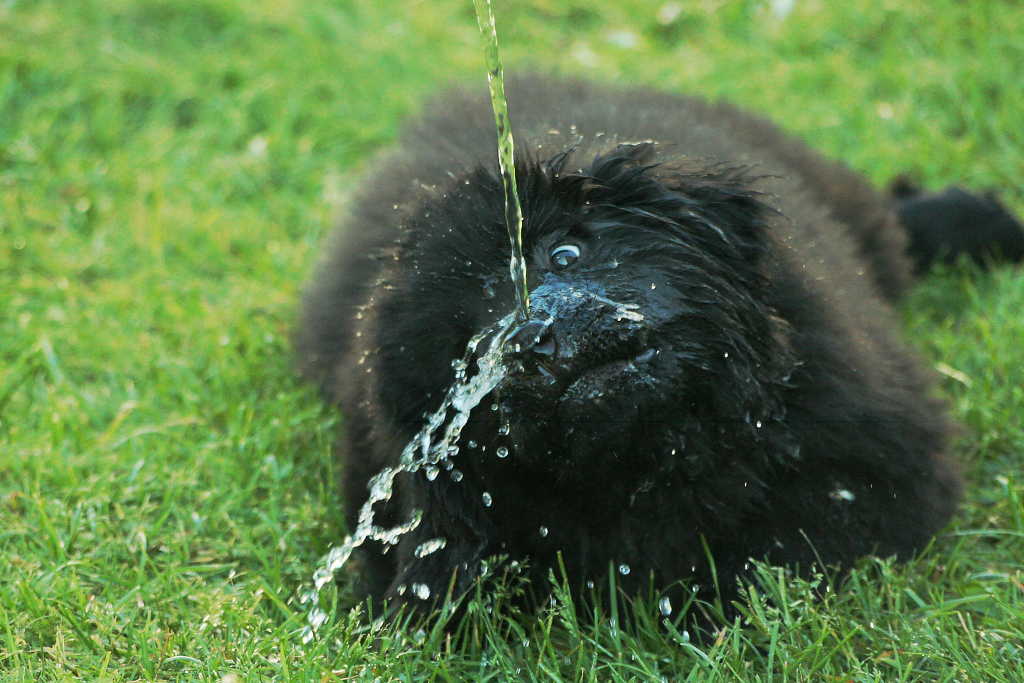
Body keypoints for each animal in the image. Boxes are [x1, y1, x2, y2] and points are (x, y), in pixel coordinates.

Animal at [299, 76, 1024, 626]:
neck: (669, 452)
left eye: (564, 253)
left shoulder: (874, 463)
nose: (531, 338)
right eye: (470, 347)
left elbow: (783, 549)